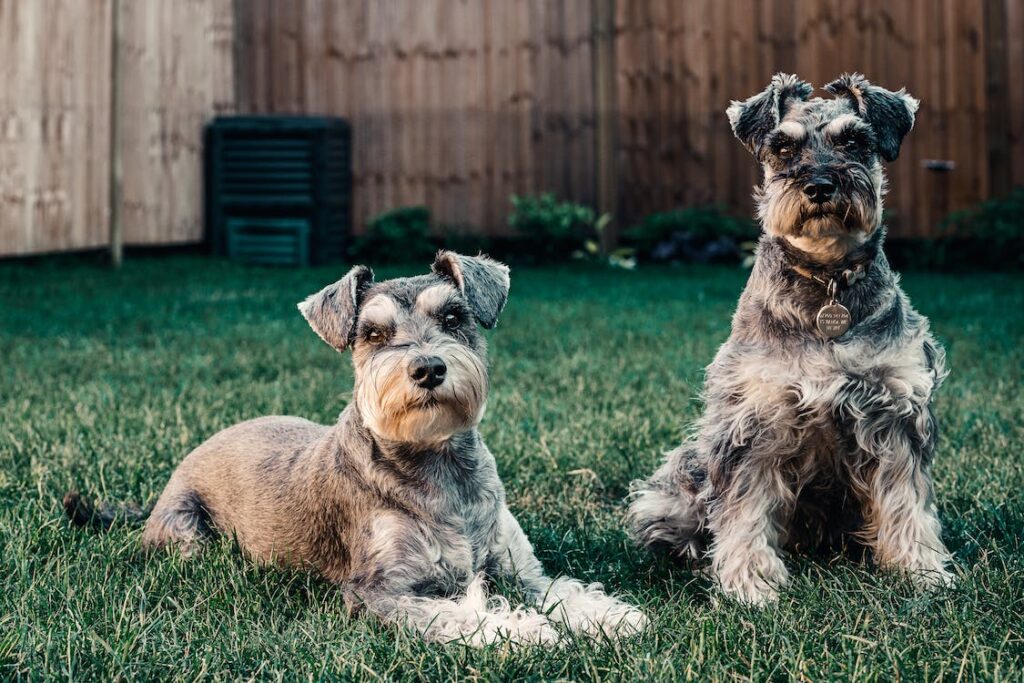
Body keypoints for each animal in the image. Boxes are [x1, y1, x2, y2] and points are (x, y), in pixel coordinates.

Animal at [64, 252, 643, 647]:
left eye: (454, 317)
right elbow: (456, 614)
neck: (439, 466)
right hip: (189, 538)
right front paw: (524, 632)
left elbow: (561, 590)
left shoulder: (520, 570)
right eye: (373, 334)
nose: (427, 368)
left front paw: (610, 616)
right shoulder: (378, 590)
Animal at [626, 74, 954, 606]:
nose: (820, 186)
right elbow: (744, 509)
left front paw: (920, 570)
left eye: (854, 142)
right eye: (782, 147)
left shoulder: (896, 413)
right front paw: (749, 583)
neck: (827, 281)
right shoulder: (754, 420)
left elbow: (907, 500)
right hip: (679, 480)